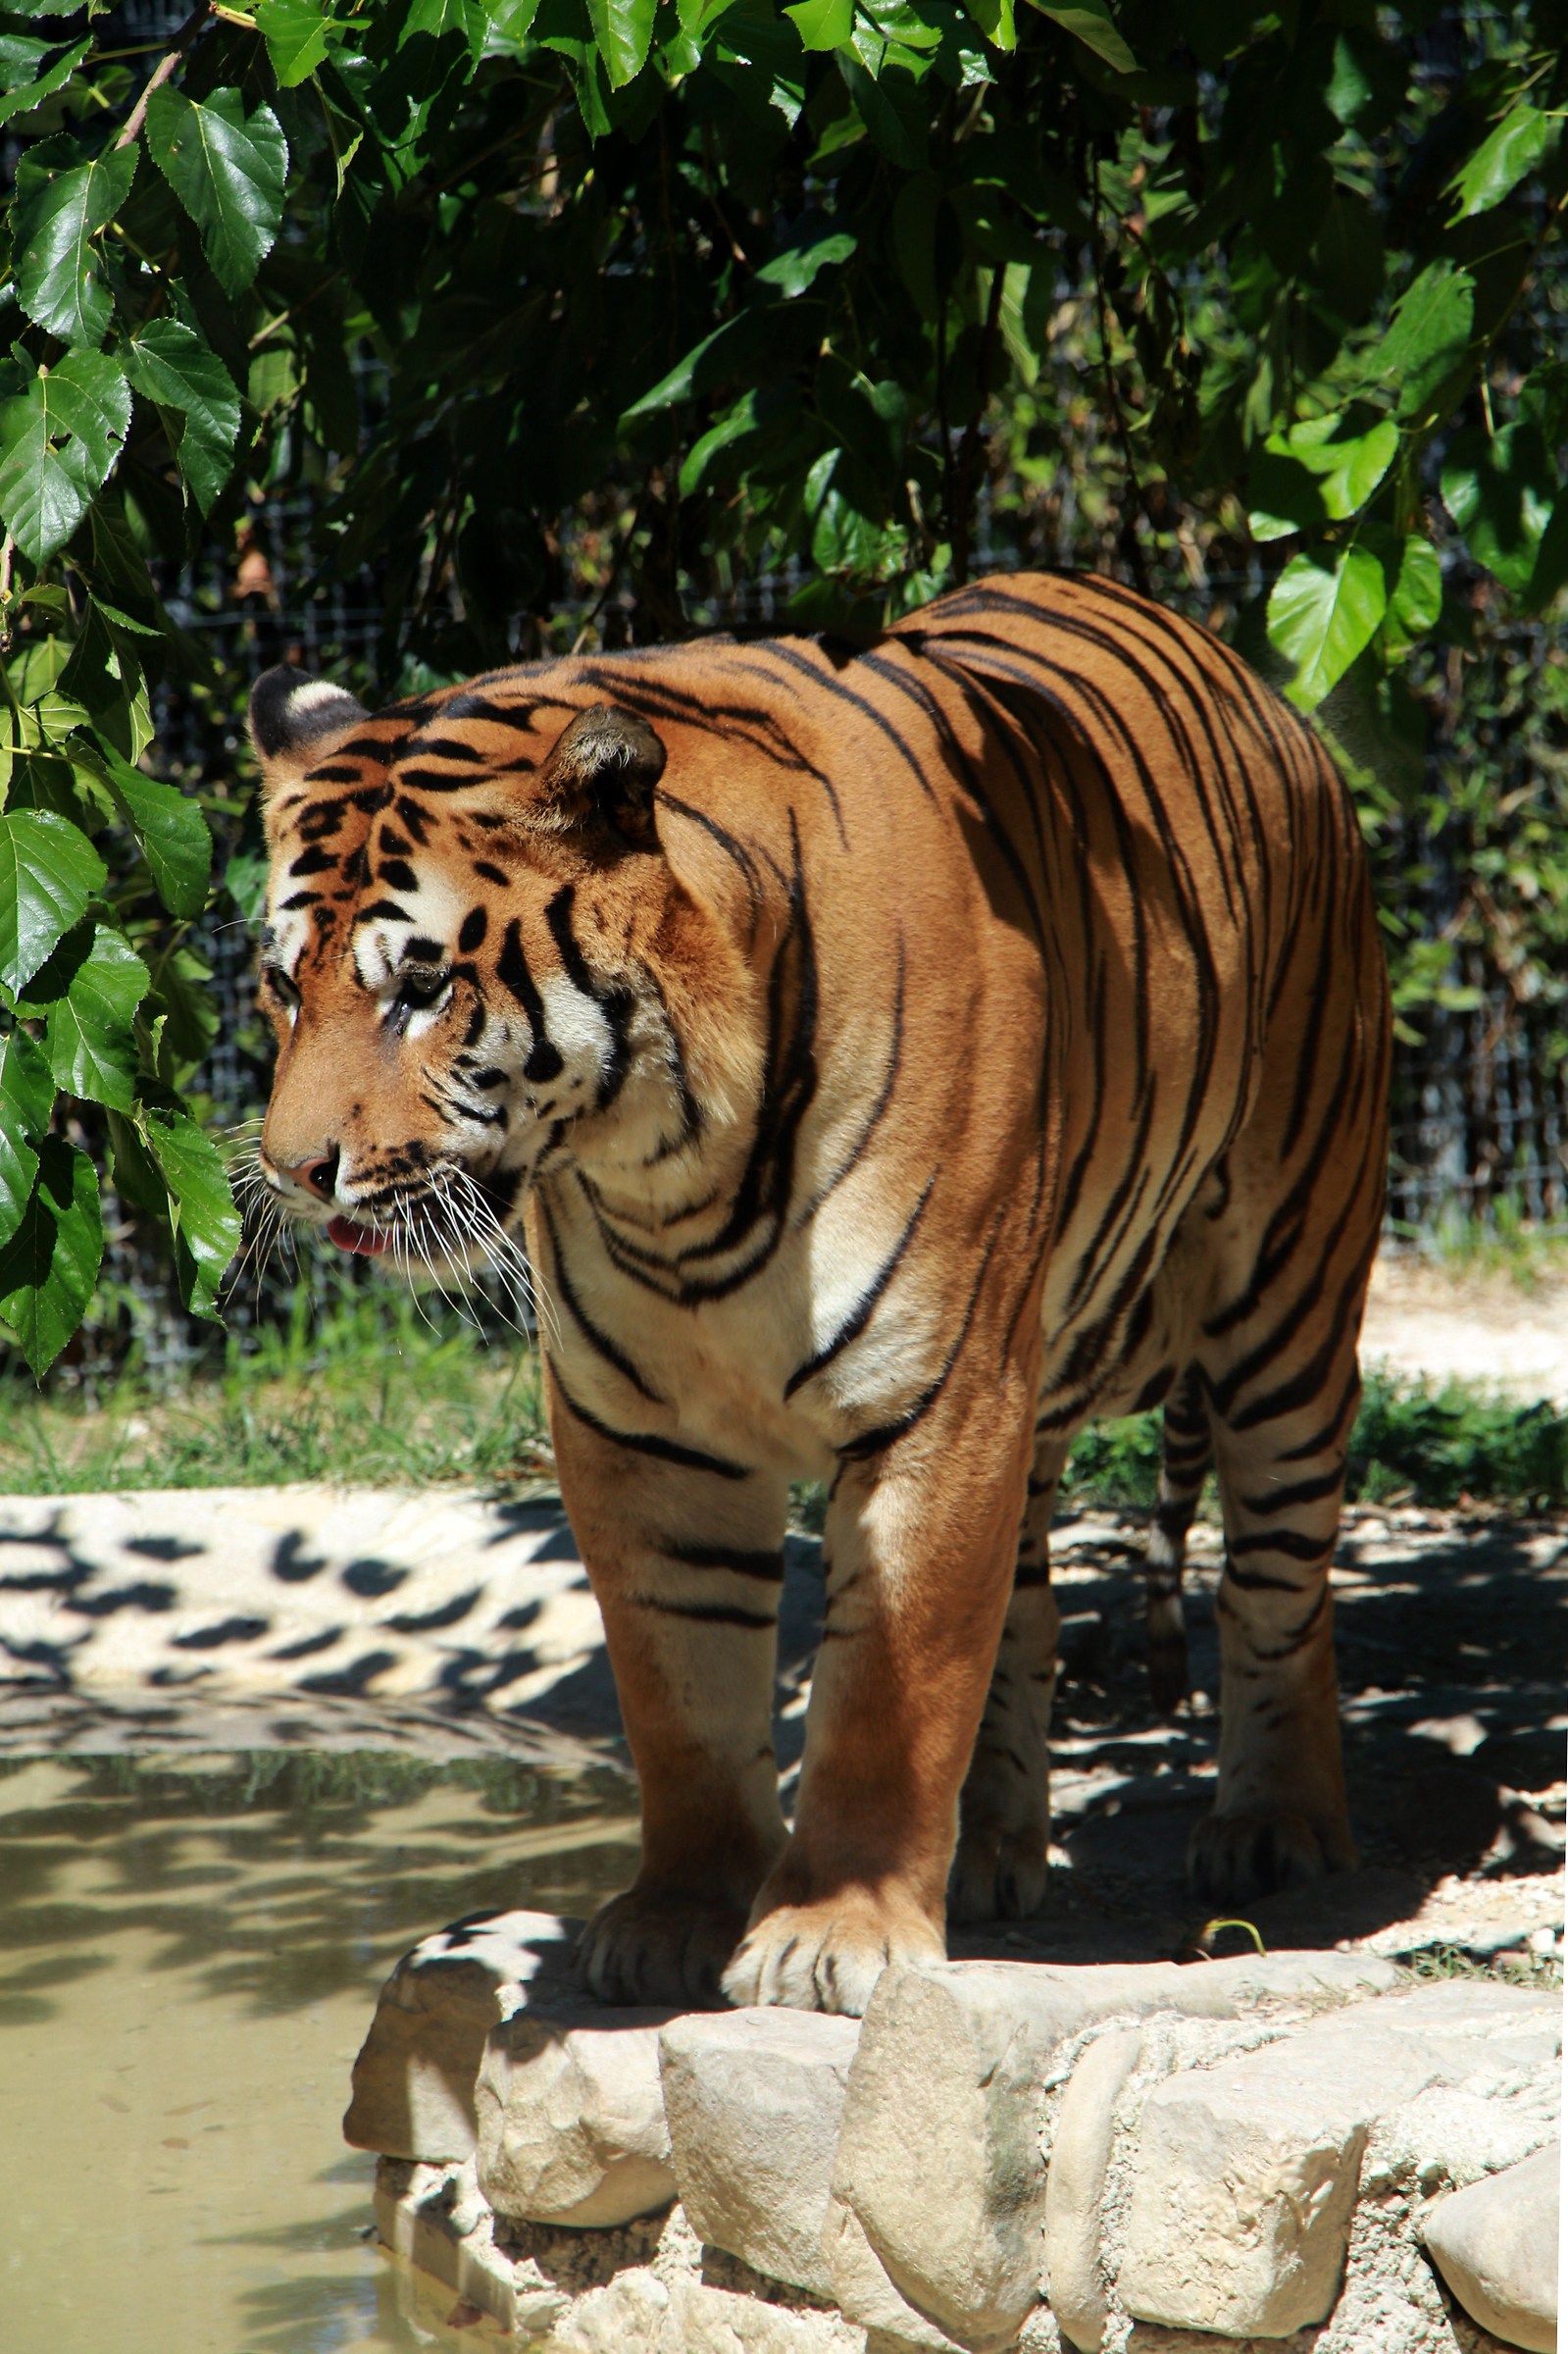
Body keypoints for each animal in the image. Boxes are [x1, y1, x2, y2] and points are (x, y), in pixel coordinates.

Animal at [248, 569, 1390, 2017]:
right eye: (282, 982)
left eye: (421, 984)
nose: (295, 1174)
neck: (668, 1174)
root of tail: (1257, 688)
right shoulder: (641, 1435)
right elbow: (682, 1699)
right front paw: (675, 1918)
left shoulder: (937, 1400)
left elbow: (887, 1695)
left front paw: (828, 1936)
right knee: (1030, 1603)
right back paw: (991, 1852)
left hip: (1286, 1290)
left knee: (1276, 1576)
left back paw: (1275, 1828)